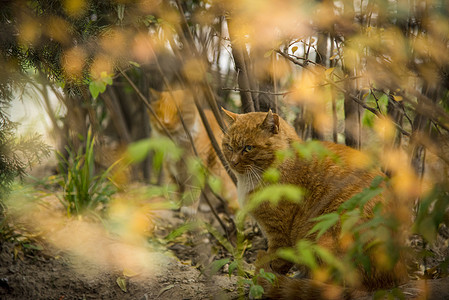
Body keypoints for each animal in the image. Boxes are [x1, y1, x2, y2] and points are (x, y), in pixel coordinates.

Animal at [220, 109, 406, 298]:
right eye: (229, 147)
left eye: (248, 148)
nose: (232, 162)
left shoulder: (280, 235)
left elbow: (274, 265)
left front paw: (260, 286)